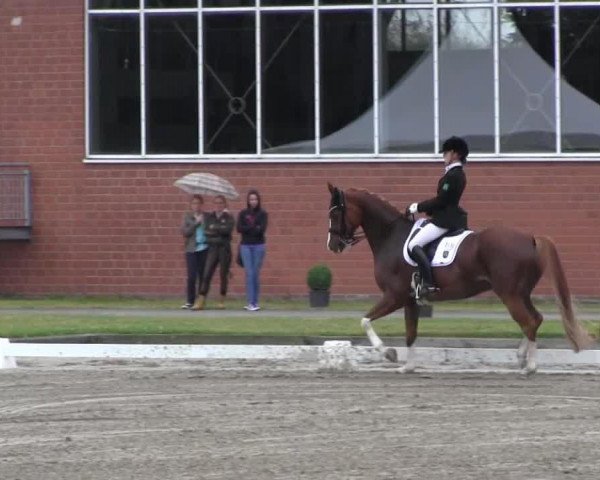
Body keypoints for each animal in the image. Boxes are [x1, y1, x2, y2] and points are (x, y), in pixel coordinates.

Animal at [328, 184, 596, 376]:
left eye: (336, 212)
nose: (332, 245)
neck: (391, 236)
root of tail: (531, 239)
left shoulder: (394, 296)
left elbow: (365, 320)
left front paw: (389, 354)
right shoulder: (410, 301)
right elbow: (410, 333)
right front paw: (408, 367)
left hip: (509, 294)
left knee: (529, 321)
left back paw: (530, 367)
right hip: (521, 293)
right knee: (535, 319)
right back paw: (522, 359)